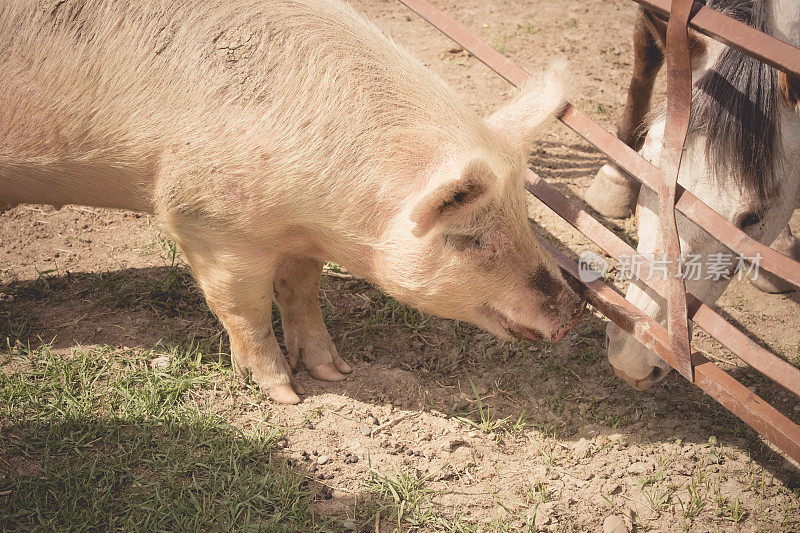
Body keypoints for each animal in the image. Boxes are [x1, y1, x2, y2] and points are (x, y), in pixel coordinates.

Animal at [1, 0, 588, 404]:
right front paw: (288, 395)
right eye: (472, 238)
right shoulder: (203, 218)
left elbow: (302, 292)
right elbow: (244, 308)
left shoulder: (302, 236)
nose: (574, 312)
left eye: (525, 217)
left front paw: (335, 371)